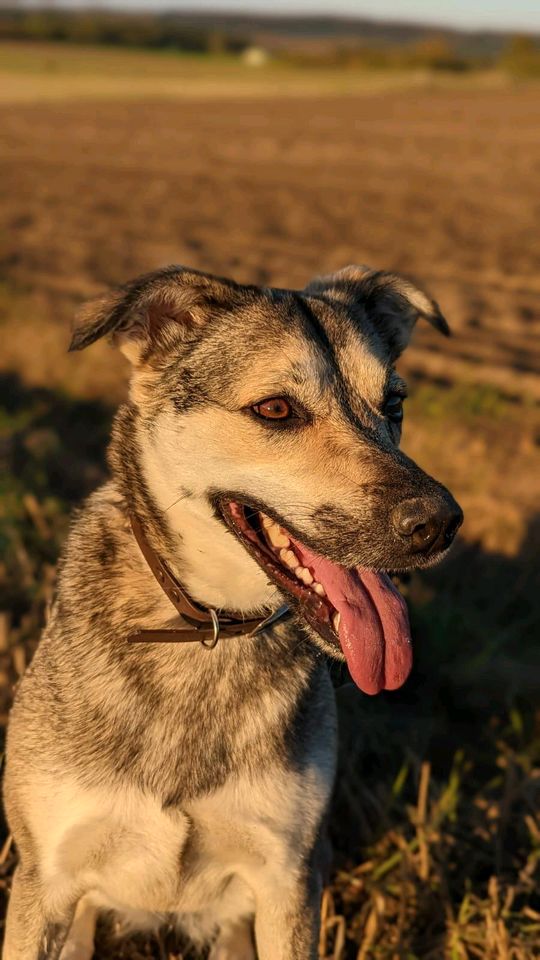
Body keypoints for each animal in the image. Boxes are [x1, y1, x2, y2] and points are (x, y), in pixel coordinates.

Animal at [2, 264, 462, 960]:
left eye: (394, 405)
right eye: (275, 409)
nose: (439, 524)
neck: (206, 631)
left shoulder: (288, 876)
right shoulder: (45, 877)